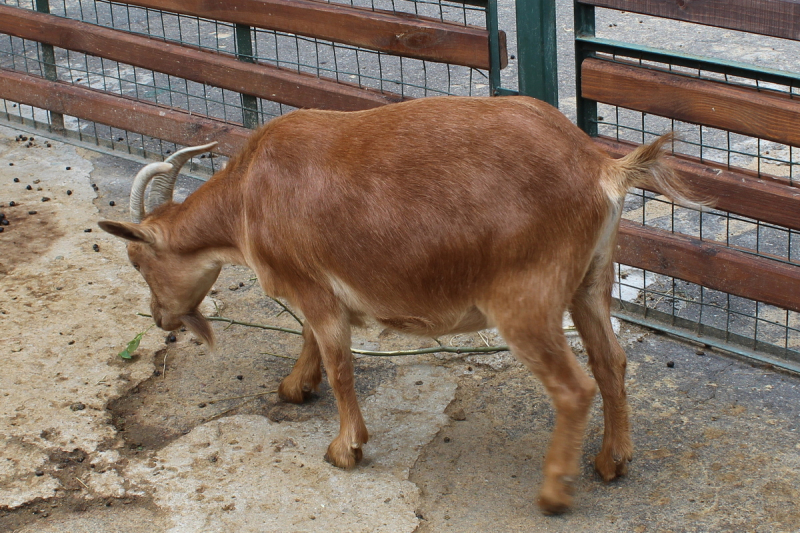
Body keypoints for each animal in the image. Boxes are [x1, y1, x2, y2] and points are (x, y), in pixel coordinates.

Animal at [99, 95, 701, 514]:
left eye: (136, 260)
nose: (160, 319)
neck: (249, 194)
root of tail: (601, 169)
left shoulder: (313, 288)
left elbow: (339, 362)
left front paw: (345, 448)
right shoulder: (313, 287)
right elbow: (311, 340)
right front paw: (295, 388)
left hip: (525, 300)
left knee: (574, 387)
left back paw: (555, 492)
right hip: (590, 281)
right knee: (611, 361)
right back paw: (611, 461)